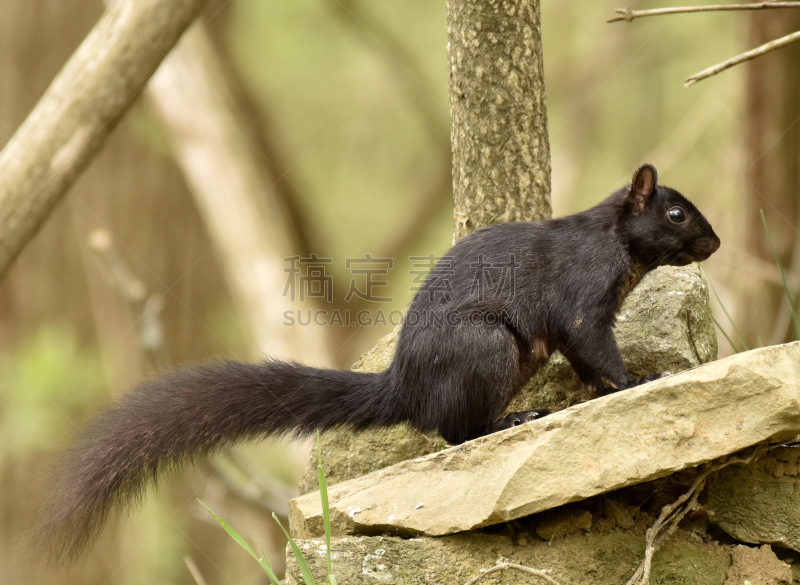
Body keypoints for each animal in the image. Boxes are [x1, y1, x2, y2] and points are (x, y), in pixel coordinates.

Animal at [40, 163, 720, 556]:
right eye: (676, 212)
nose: (715, 242)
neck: (615, 244)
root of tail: (403, 386)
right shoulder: (582, 304)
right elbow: (597, 350)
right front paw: (638, 379)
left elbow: (585, 366)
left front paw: (604, 391)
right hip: (486, 348)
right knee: (455, 430)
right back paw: (510, 421)